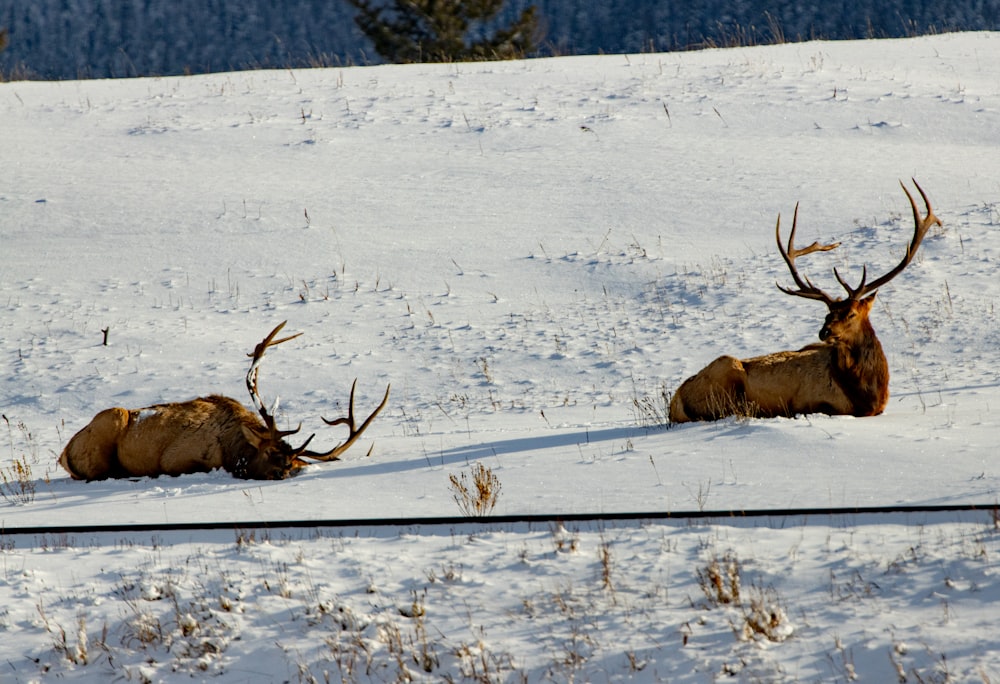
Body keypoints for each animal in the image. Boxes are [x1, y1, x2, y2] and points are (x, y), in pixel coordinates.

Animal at [57, 322, 394, 478]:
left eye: (290, 459)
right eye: (270, 452)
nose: (283, 471)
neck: (232, 448)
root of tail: (64, 452)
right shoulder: (176, 459)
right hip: (112, 419)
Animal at [668, 178, 940, 422]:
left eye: (851, 313)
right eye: (827, 314)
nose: (824, 331)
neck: (868, 392)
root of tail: (675, 401)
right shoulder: (811, 402)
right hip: (727, 368)